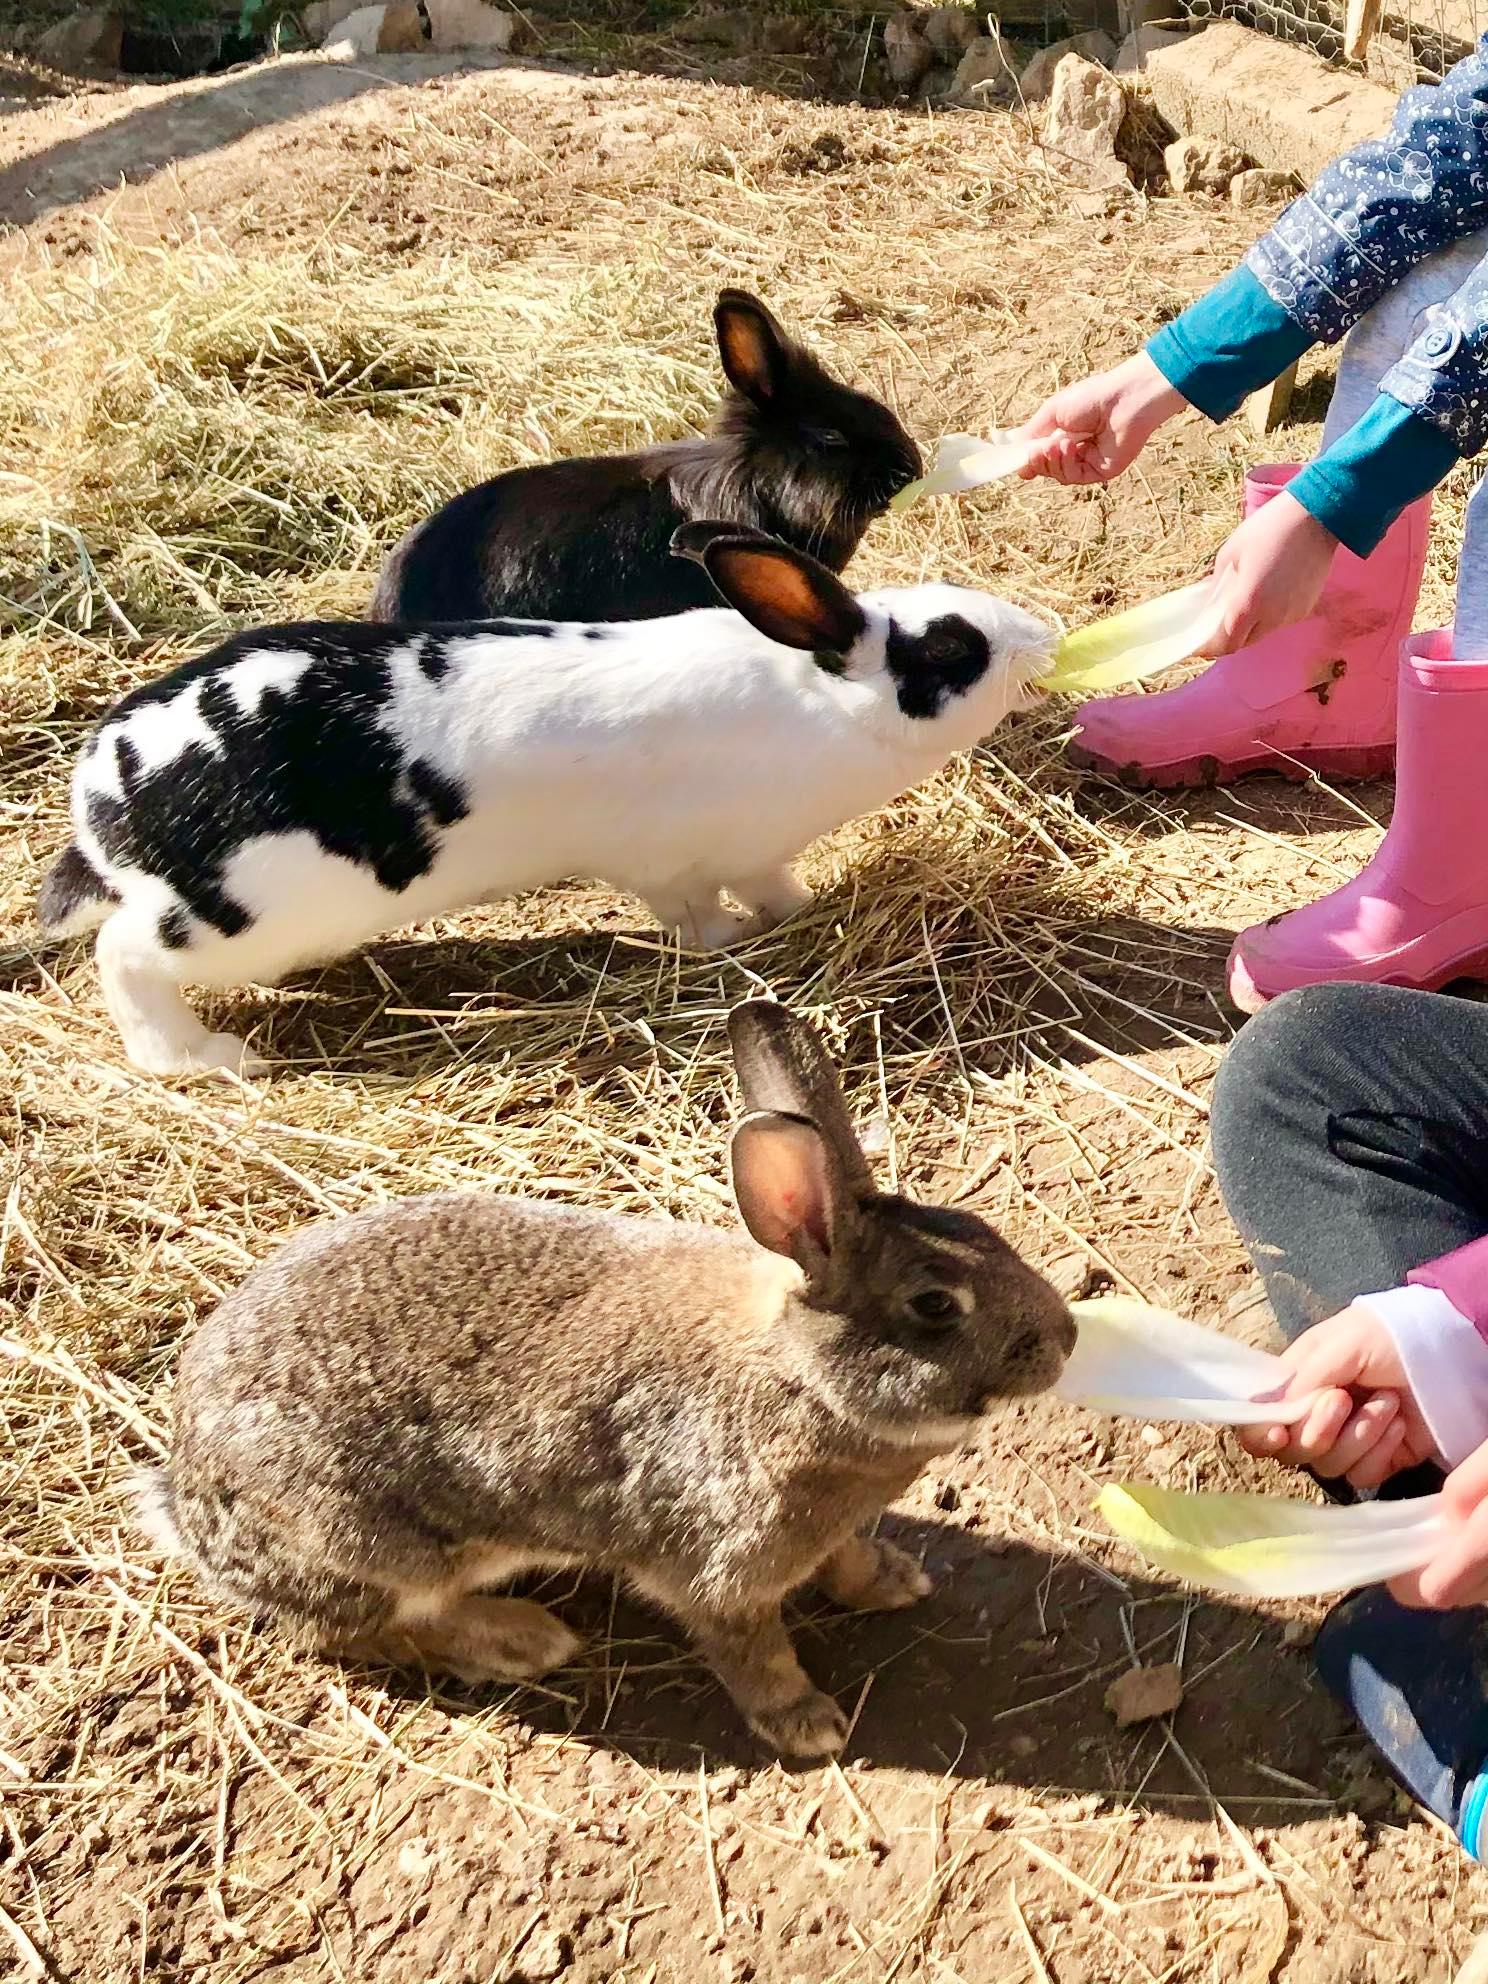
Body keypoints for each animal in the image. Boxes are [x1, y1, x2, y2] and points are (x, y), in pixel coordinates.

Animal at [37, 524, 1054, 1078]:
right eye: (950, 648)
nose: (1042, 635)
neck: (823, 704)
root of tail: (107, 800)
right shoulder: (684, 864)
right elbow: (703, 913)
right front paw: (746, 938)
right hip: (237, 912)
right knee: (122, 956)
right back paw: (204, 1058)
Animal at [136, 998, 1076, 1757]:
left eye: (983, 1230)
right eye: (935, 1305)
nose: (1065, 1339)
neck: (797, 1377)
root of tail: (188, 1498)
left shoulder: (827, 1526)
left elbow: (844, 1560)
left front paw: (891, 1582)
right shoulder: (720, 1575)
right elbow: (752, 1651)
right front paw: (806, 1725)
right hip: (371, 1547)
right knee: (360, 1632)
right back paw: (522, 1639)